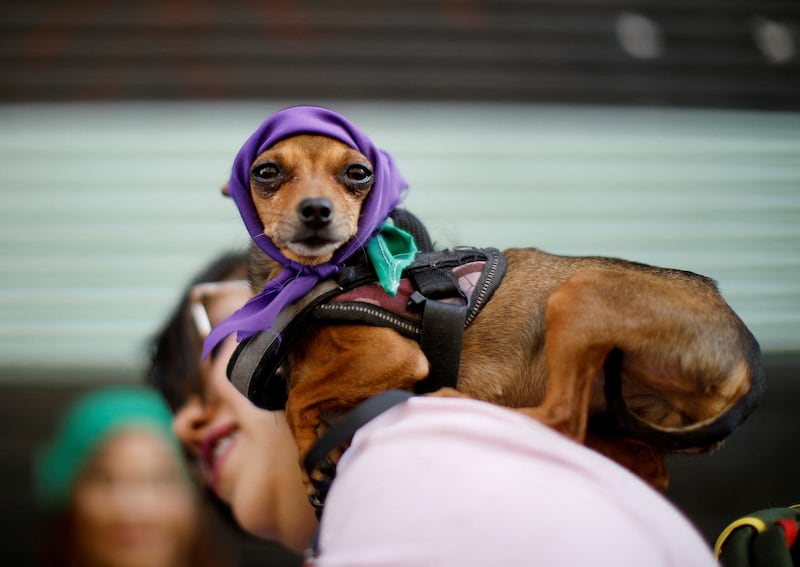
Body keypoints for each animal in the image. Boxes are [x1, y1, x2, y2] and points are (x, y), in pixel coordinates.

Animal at [231, 132, 764, 492]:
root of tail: (748, 354)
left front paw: (309, 456)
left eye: (358, 173)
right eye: (267, 172)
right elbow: (306, 398)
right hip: (617, 423)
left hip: (580, 292)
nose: (316, 212)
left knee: (560, 416)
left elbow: (300, 399)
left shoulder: (395, 357)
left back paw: (454, 400)